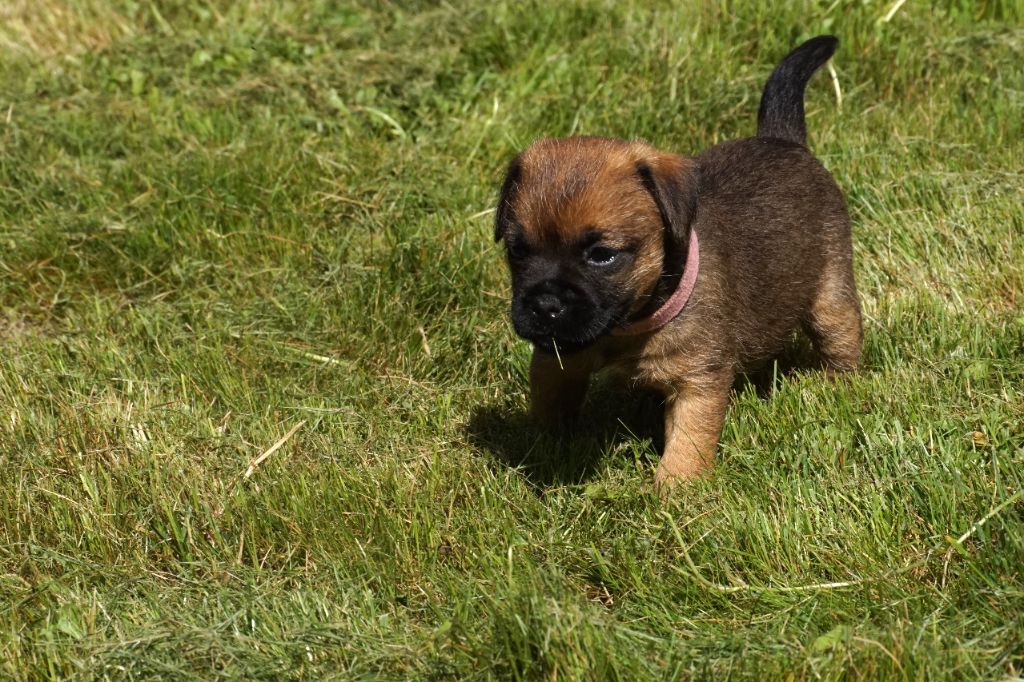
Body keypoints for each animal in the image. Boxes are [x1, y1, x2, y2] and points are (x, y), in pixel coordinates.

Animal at [491, 35, 860, 489]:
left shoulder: (698, 382)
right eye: (517, 251)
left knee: (841, 338)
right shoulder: (555, 358)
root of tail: (782, 138)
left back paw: (838, 386)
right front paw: (541, 446)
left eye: (602, 256)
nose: (544, 305)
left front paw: (678, 488)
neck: (625, 328)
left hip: (831, 294)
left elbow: (690, 437)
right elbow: (548, 400)